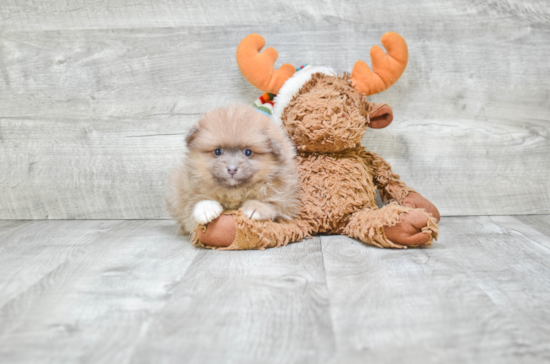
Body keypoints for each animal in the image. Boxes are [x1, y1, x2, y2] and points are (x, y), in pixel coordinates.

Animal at [168, 104, 302, 235]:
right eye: (218, 152)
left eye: (248, 152)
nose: (232, 169)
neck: (234, 191)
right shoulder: (186, 197)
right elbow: (194, 204)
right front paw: (206, 208)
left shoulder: (287, 202)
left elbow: (272, 205)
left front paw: (256, 208)